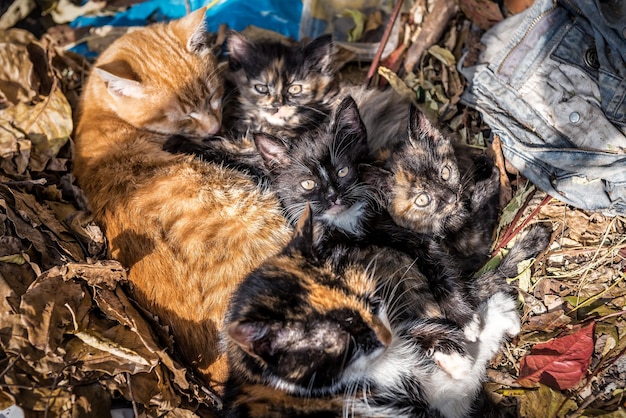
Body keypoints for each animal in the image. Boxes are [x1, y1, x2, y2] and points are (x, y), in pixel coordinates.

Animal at [222, 206, 548, 418]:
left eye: (372, 301)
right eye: (347, 341)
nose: (385, 338)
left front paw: (449, 349)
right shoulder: (443, 401)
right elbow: (467, 373)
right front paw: (496, 317)